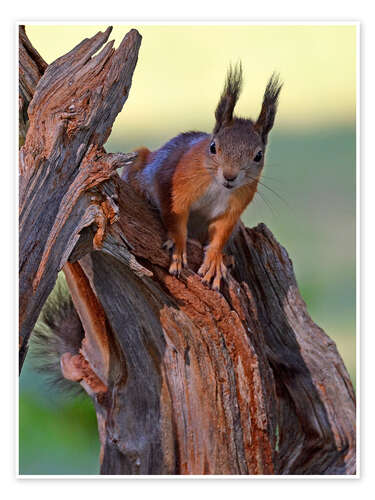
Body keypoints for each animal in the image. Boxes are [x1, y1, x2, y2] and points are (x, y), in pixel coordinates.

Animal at [122, 63, 284, 290]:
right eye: (213, 147)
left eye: (258, 155)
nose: (230, 176)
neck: (218, 187)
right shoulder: (176, 186)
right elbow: (175, 215)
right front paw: (178, 245)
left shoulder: (235, 206)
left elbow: (221, 231)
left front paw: (215, 259)